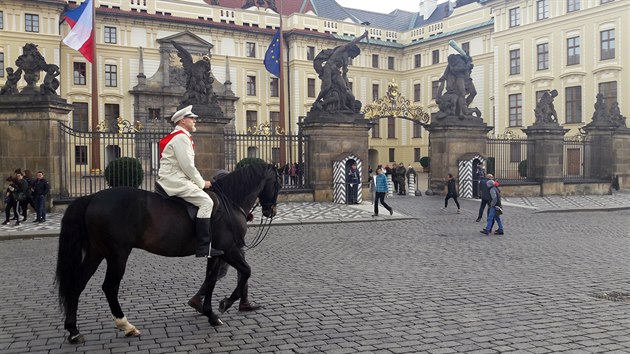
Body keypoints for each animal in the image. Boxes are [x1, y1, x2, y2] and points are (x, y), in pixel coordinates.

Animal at [55, 163, 280, 342]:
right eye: (277, 183)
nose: (272, 211)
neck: (230, 202)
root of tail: (92, 197)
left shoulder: (216, 252)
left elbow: (210, 280)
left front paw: (209, 313)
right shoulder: (229, 250)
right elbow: (246, 271)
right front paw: (225, 304)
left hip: (97, 252)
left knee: (78, 284)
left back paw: (73, 330)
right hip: (117, 255)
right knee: (109, 287)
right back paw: (126, 326)